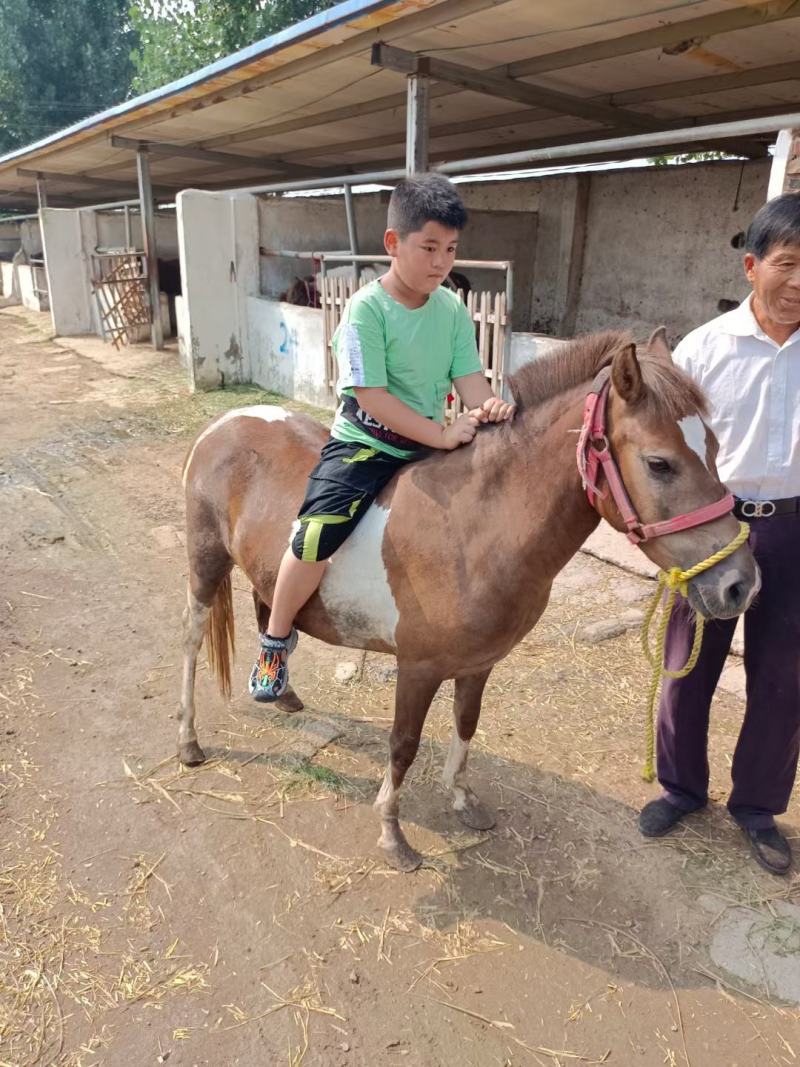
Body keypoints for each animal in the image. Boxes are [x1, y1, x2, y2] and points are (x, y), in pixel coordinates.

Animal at [178, 329, 759, 871]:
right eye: (660, 464)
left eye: (713, 448)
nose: (741, 584)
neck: (472, 528)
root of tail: (224, 423)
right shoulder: (417, 668)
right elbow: (403, 744)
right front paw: (392, 834)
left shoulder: (479, 664)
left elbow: (466, 724)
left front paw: (462, 799)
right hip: (206, 567)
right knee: (192, 642)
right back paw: (189, 741)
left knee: (267, 609)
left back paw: (281, 689)